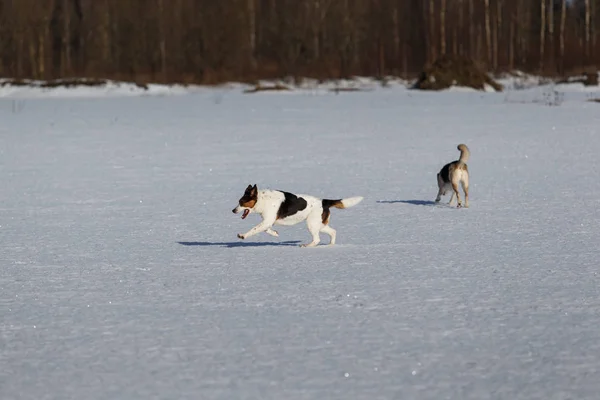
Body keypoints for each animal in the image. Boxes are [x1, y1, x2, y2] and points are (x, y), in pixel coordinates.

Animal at [232, 185, 364, 247]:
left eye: (241, 202)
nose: (233, 210)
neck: (262, 199)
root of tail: (324, 201)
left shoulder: (267, 221)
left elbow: (254, 229)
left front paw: (242, 236)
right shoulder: (268, 221)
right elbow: (266, 230)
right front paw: (275, 233)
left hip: (312, 224)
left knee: (317, 239)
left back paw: (306, 246)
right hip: (319, 224)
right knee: (333, 232)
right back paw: (330, 245)